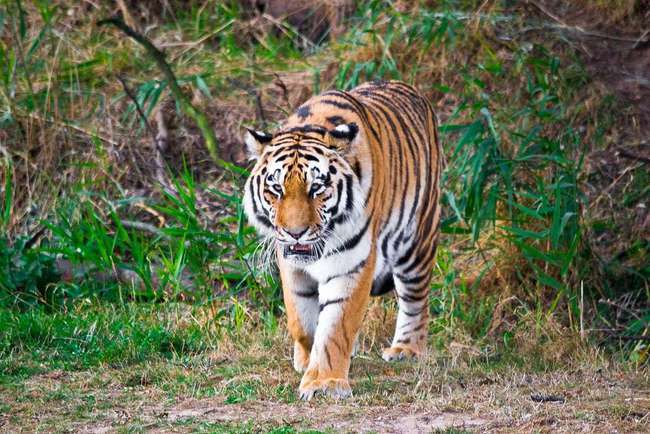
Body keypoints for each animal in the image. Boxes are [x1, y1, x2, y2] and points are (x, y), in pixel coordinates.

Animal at [242, 79, 440, 400]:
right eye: (276, 189)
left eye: (317, 188)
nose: (295, 232)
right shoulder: (290, 264)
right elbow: (300, 319)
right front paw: (306, 358)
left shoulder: (352, 264)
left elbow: (336, 325)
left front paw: (325, 381)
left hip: (417, 240)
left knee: (415, 300)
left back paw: (406, 349)